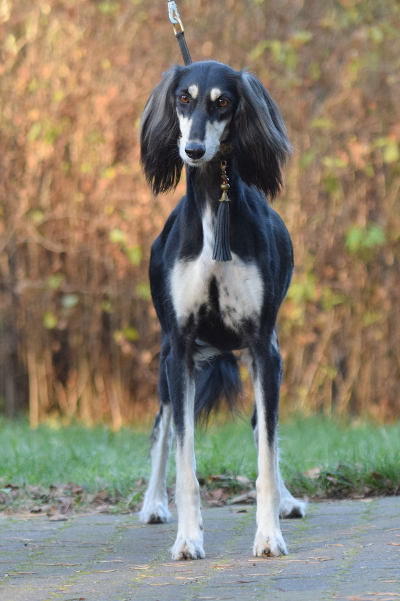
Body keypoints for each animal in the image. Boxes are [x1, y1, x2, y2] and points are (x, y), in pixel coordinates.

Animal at [139, 59, 304, 556]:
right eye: (183, 98)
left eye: (223, 102)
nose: (193, 149)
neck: (216, 207)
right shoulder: (180, 347)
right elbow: (183, 456)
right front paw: (187, 539)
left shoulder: (263, 347)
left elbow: (266, 451)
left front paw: (269, 534)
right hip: (170, 360)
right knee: (162, 425)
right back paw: (153, 503)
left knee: (262, 427)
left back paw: (287, 501)